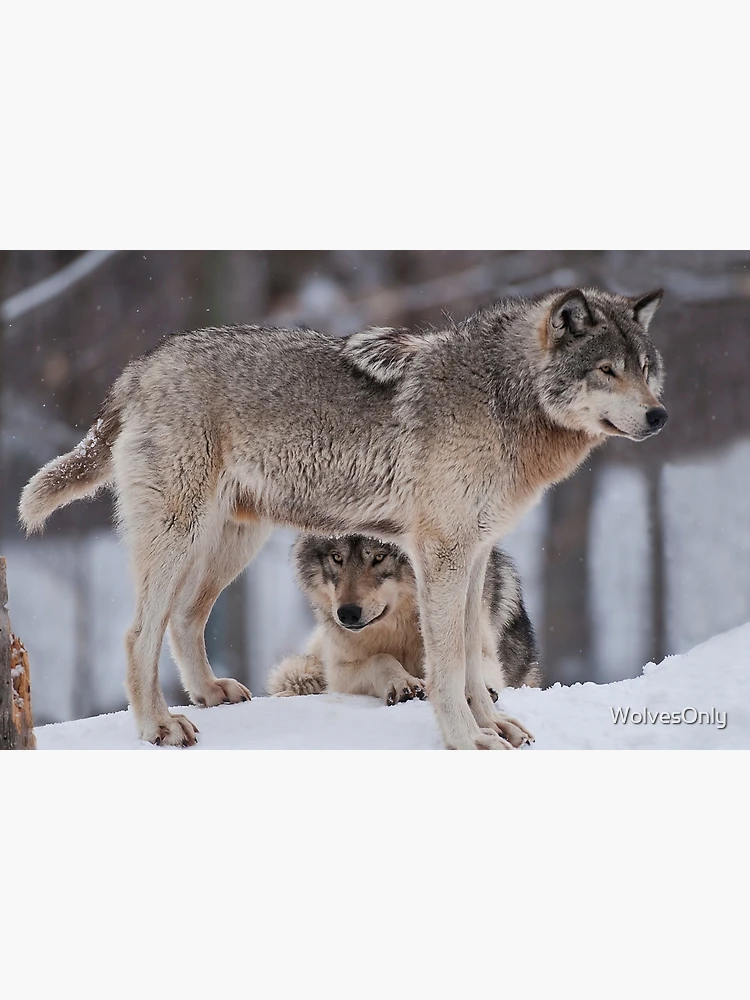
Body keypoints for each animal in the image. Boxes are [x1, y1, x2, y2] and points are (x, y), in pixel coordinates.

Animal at [266, 535, 540, 745]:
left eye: (379, 557)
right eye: (337, 557)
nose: (347, 613)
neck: (399, 627)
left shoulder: (479, 645)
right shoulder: (339, 671)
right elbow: (381, 658)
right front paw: (402, 683)